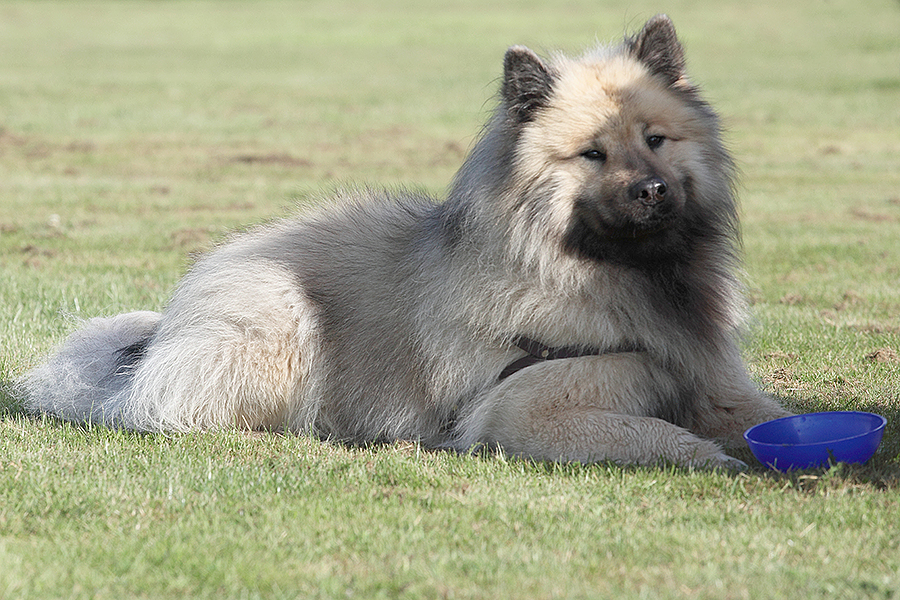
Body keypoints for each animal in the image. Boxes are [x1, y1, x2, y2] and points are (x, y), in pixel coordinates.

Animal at [21, 14, 792, 468]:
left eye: (656, 140)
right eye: (592, 155)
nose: (652, 192)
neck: (623, 277)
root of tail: (168, 325)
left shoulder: (713, 381)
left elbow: (771, 416)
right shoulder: (529, 407)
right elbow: (658, 437)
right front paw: (718, 461)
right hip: (281, 321)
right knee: (181, 414)